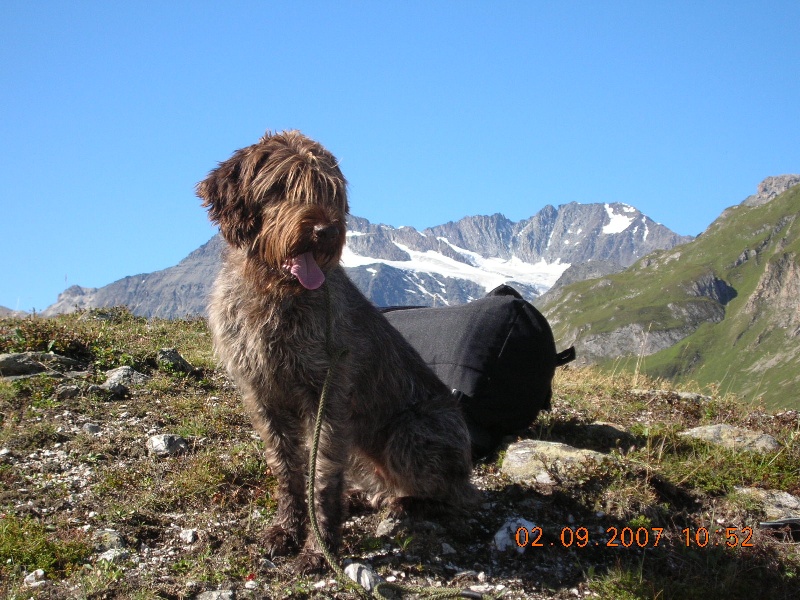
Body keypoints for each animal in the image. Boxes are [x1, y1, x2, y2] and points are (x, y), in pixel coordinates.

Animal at [197, 131, 478, 572]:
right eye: (280, 186)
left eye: (329, 190)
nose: (327, 231)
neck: (276, 292)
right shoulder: (262, 394)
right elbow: (287, 468)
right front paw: (287, 529)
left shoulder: (326, 395)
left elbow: (323, 476)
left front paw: (318, 548)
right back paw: (365, 496)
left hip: (410, 434)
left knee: (457, 495)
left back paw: (409, 504)